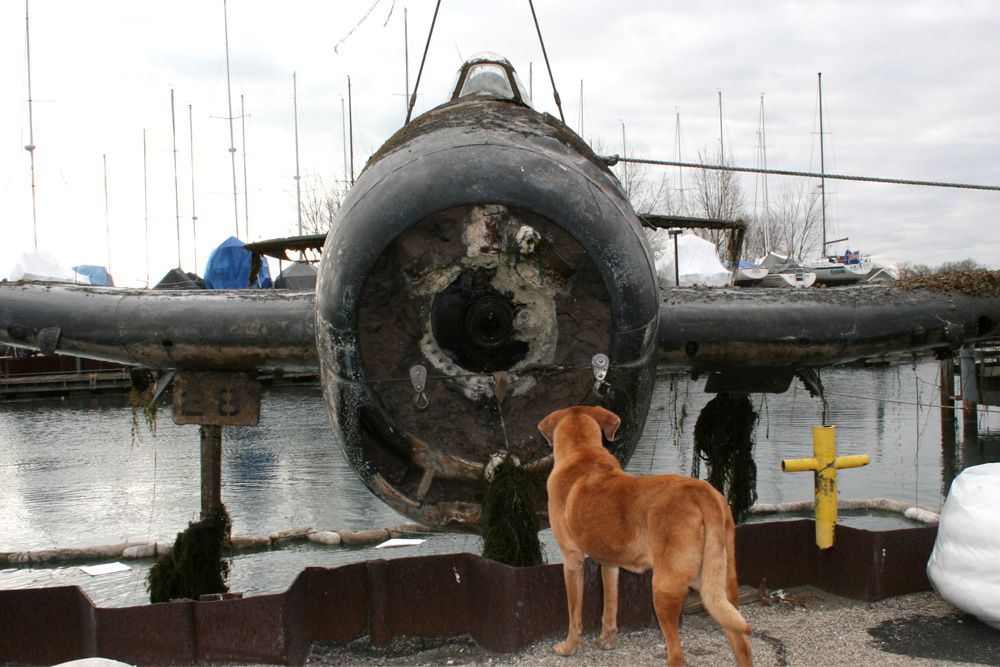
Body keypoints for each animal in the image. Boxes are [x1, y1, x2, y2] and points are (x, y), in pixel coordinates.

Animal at [540, 404, 752, 664]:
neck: (582, 451)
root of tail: (701, 491)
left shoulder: (572, 560)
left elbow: (574, 615)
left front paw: (569, 647)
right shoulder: (609, 564)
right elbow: (609, 608)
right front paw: (607, 641)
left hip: (664, 588)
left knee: (677, 655)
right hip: (723, 590)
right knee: (741, 645)